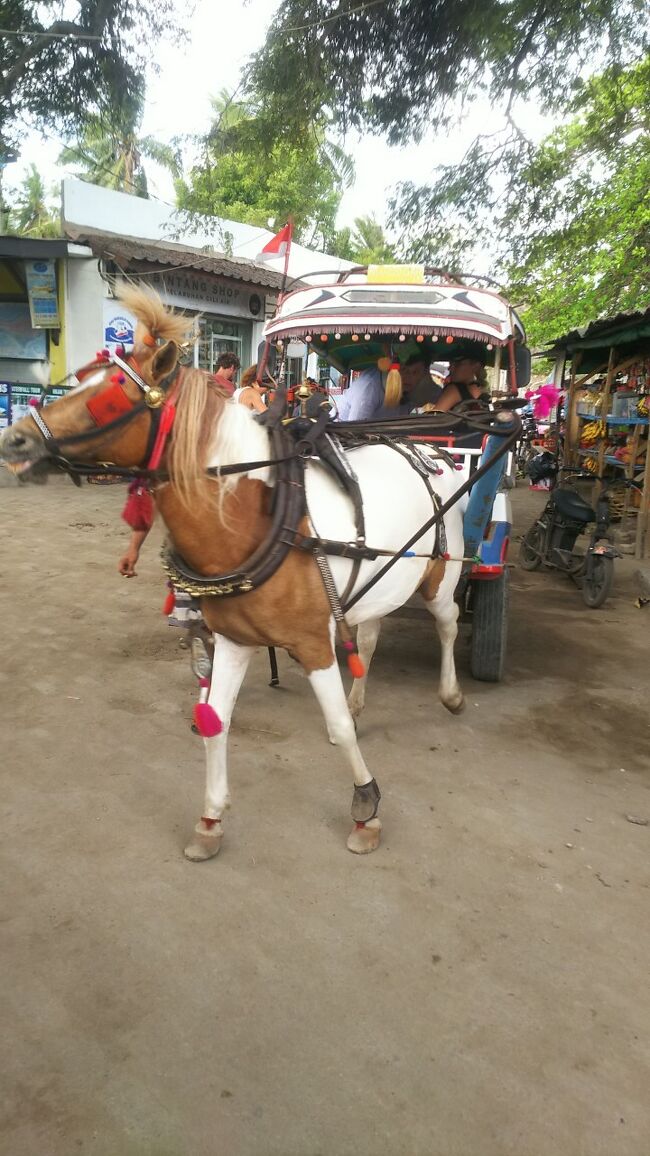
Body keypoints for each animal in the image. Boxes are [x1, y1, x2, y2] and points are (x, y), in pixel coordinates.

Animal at [0, 286, 466, 861]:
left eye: (109, 396)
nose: (14, 440)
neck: (269, 519)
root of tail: (425, 448)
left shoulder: (312, 642)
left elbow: (335, 728)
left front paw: (366, 806)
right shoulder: (234, 637)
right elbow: (214, 721)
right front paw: (210, 819)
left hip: (440, 576)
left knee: (448, 621)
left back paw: (451, 693)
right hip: (377, 584)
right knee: (372, 633)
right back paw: (362, 696)